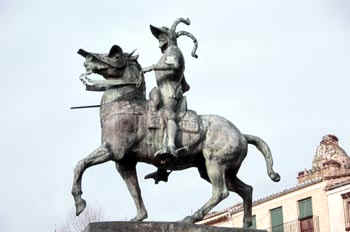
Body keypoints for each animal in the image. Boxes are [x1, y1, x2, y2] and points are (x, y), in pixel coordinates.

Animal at [70, 44, 278, 227]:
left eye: (115, 55)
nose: (87, 60)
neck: (125, 103)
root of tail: (241, 135)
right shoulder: (124, 163)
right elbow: (134, 190)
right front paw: (139, 217)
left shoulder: (112, 150)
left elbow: (80, 164)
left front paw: (79, 203)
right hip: (217, 170)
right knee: (246, 190)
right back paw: (246, 223)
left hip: (215, 164)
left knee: (221, 192)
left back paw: (190, 218)